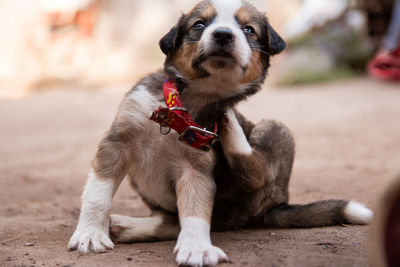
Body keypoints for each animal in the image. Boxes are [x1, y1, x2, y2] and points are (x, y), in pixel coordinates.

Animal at [68, 1, 372, 266]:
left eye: (249, 29)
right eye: (199, 24)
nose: (223, 34)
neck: (186, 105)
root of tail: (276, 204)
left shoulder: (196, 166)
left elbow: (195, 211)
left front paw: (196, 248)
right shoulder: (118, 141)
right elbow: (98, 194)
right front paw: (90, 234)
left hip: (275, 131)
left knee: (253, 173)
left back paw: (230, 126)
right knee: (173, 219)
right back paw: (125, 226)